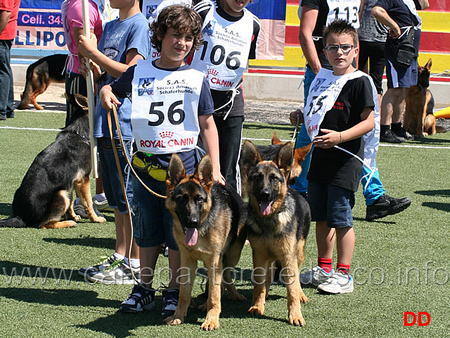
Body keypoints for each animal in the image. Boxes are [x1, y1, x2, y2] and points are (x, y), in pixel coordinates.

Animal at [0, 93, 106, 228]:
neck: (79, 133)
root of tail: (21, 217)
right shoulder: (83, 180)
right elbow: (88, 203)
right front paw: (95, 219)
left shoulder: (70, 182)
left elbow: (71, 203)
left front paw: (73, 215)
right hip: (60, 195)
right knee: (45, 224)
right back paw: (67, 223)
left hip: (62, 191)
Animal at [164, 154, 246, 328]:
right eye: (181, 199)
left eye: (199, 199)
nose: (192, 222)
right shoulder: (187, 260)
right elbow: (184, 294)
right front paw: (178, 316)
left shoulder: (214, 260)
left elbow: (214, 295)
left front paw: (212, 319)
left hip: (232, 255)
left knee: (226, 273)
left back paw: (233, 294)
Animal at [241, 139, 312, 324]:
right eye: (257, 177)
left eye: (274, 178)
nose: (265, 194)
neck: (269, 221)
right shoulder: (259, 254)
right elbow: (259, 283)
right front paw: (258, 306)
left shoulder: (288, 256)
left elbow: (292, 289)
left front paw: (295, 315)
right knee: (268, 276)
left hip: (298, 252)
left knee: (296, 278)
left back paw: (301, 294)